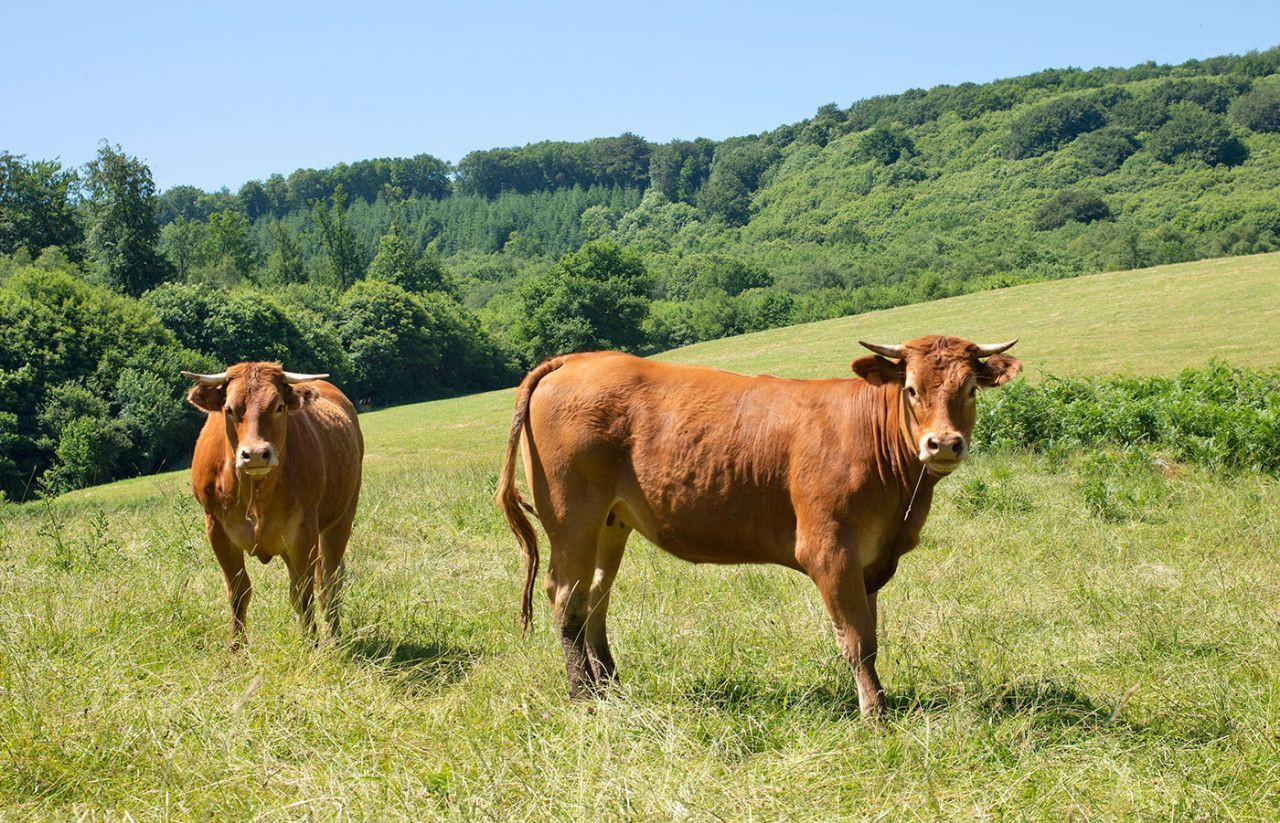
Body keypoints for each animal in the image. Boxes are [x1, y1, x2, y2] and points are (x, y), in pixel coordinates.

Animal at [180, 363, 363, 647]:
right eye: (229, 409)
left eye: (279, 406)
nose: (255, 454)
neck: (256, 495)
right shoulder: (216, 529)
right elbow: (238, 591)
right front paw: (237, 649)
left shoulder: (304, 530)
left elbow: (303, 593)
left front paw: (310, 646)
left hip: (342, 516)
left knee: (330, 579)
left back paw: (334, 636)